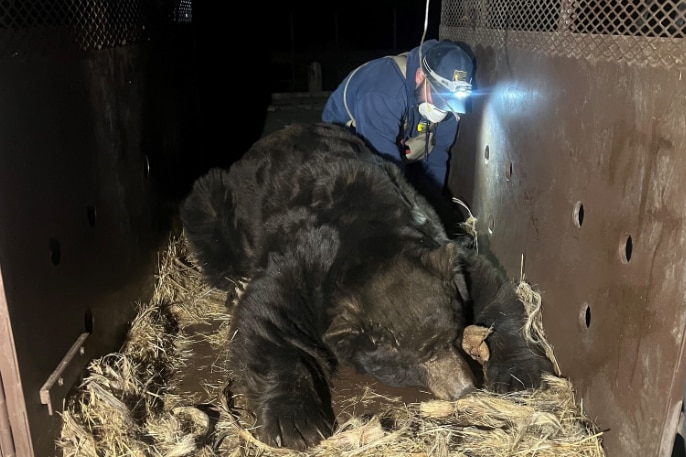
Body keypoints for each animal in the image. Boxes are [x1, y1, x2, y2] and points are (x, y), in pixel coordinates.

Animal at [180, 122, 556, 448]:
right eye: (412, 360)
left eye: (453, 337)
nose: (463, 389)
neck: (367, 237)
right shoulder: (302, 263)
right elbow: (264, 316)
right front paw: (297, 424)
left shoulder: (439, 245)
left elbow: (489, 286)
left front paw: (517, 373)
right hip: (217, 200)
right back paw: (233, 279)